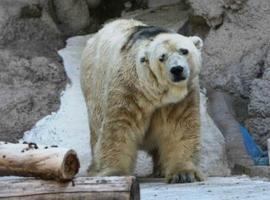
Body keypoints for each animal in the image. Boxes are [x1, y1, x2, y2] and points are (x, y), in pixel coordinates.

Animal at [81, 19, 204, 184]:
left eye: (184, 51)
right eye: (162, 57)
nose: (177, 69)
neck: (155, 93)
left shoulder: (182, 97)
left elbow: (180, 126)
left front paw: (183, 173)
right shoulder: (128, 89)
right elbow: (120, 127)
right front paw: (116, 173)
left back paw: (160, 169)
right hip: (93, 89)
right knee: (96, 131)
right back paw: (94, 169)